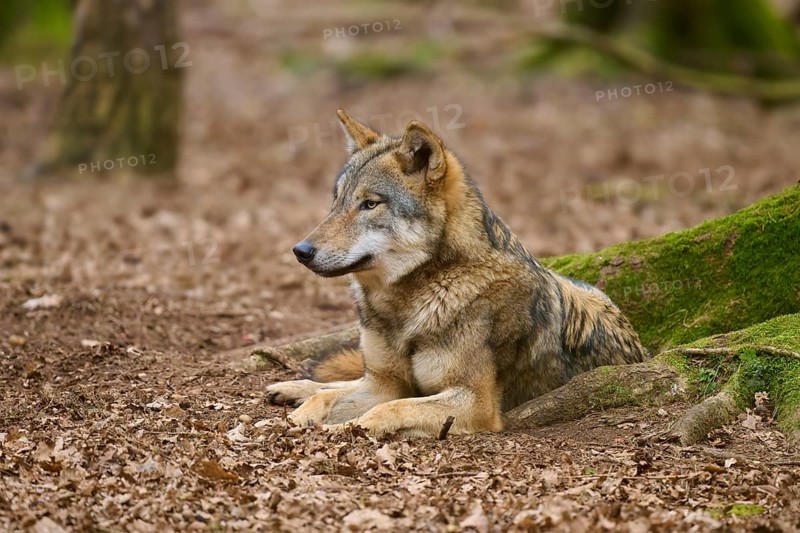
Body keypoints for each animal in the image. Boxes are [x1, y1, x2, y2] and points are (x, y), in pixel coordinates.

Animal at [266, 109, 647, 437]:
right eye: (337, 201)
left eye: (369, 204)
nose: (300, 251)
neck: (414, 299)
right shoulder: (384, 383)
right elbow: (328, 398)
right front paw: (291, 421)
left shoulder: (475, 403)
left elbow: (388, 409)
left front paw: (344, 429)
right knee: (335, 382)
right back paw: (290, 388)